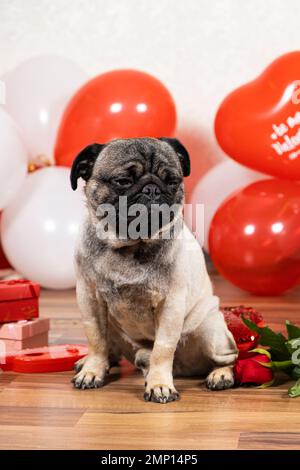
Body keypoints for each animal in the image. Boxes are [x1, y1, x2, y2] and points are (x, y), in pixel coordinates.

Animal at [70, 137, 237, 404]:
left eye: (172, 181)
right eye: (123, 181)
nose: (152, 189)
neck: (130, 245)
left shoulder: (170, 305)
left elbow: (163, 348)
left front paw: (160, 385)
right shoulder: (89, 298)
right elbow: (96, 339)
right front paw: (92, 370)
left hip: (210, 331)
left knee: (232, 356)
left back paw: (220, 375)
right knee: (111, 348)